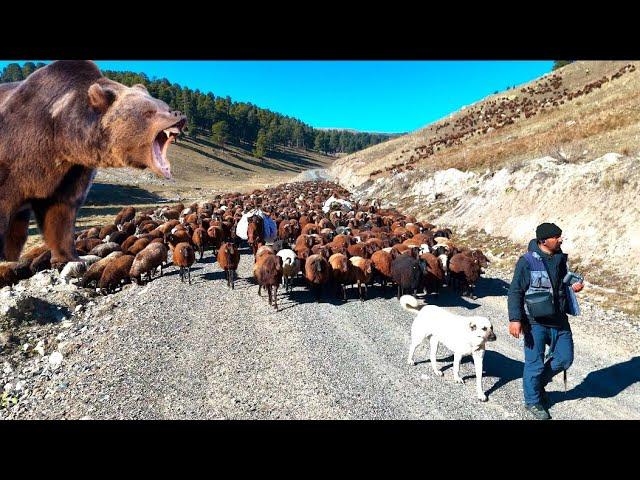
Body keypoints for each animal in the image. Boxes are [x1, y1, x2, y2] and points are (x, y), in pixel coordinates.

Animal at [0, 59, 185, 266]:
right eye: (149, 112)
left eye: (164, 105)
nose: (178, 114)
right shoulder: (16, 158)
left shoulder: (70, 172)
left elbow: (60, 213)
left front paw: (70, 256)